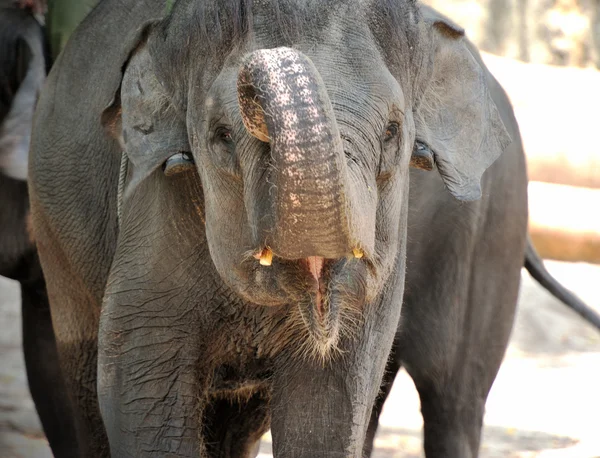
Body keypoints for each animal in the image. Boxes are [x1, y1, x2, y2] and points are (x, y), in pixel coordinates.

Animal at [24, 0, 600, 458]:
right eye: (221, 136)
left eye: (393, 133)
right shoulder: (150, 218)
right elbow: (141, 394)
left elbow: (328, 406)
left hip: (490, 233)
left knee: (451, 392)